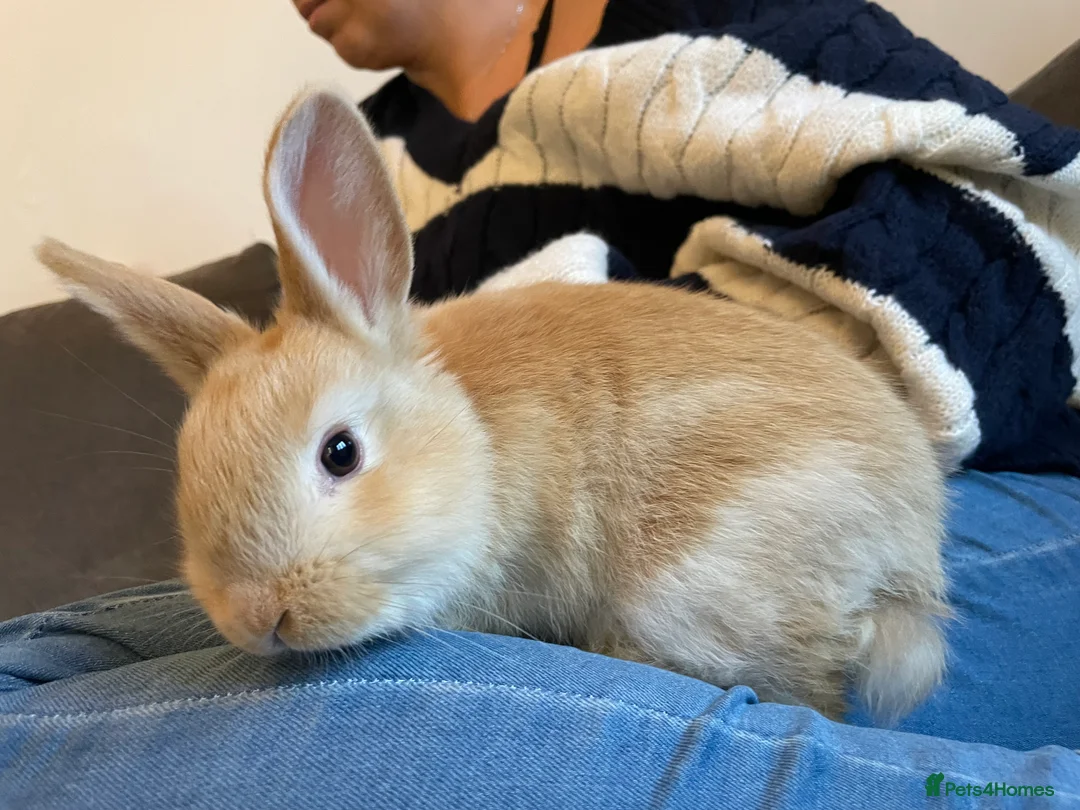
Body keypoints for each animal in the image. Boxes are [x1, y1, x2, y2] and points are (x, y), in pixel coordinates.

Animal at [37, 88, 948, 723]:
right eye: (187, 470)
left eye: (341, 452)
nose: (260, 617)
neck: (472, 436)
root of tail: (910, 551)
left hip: (697, 590)